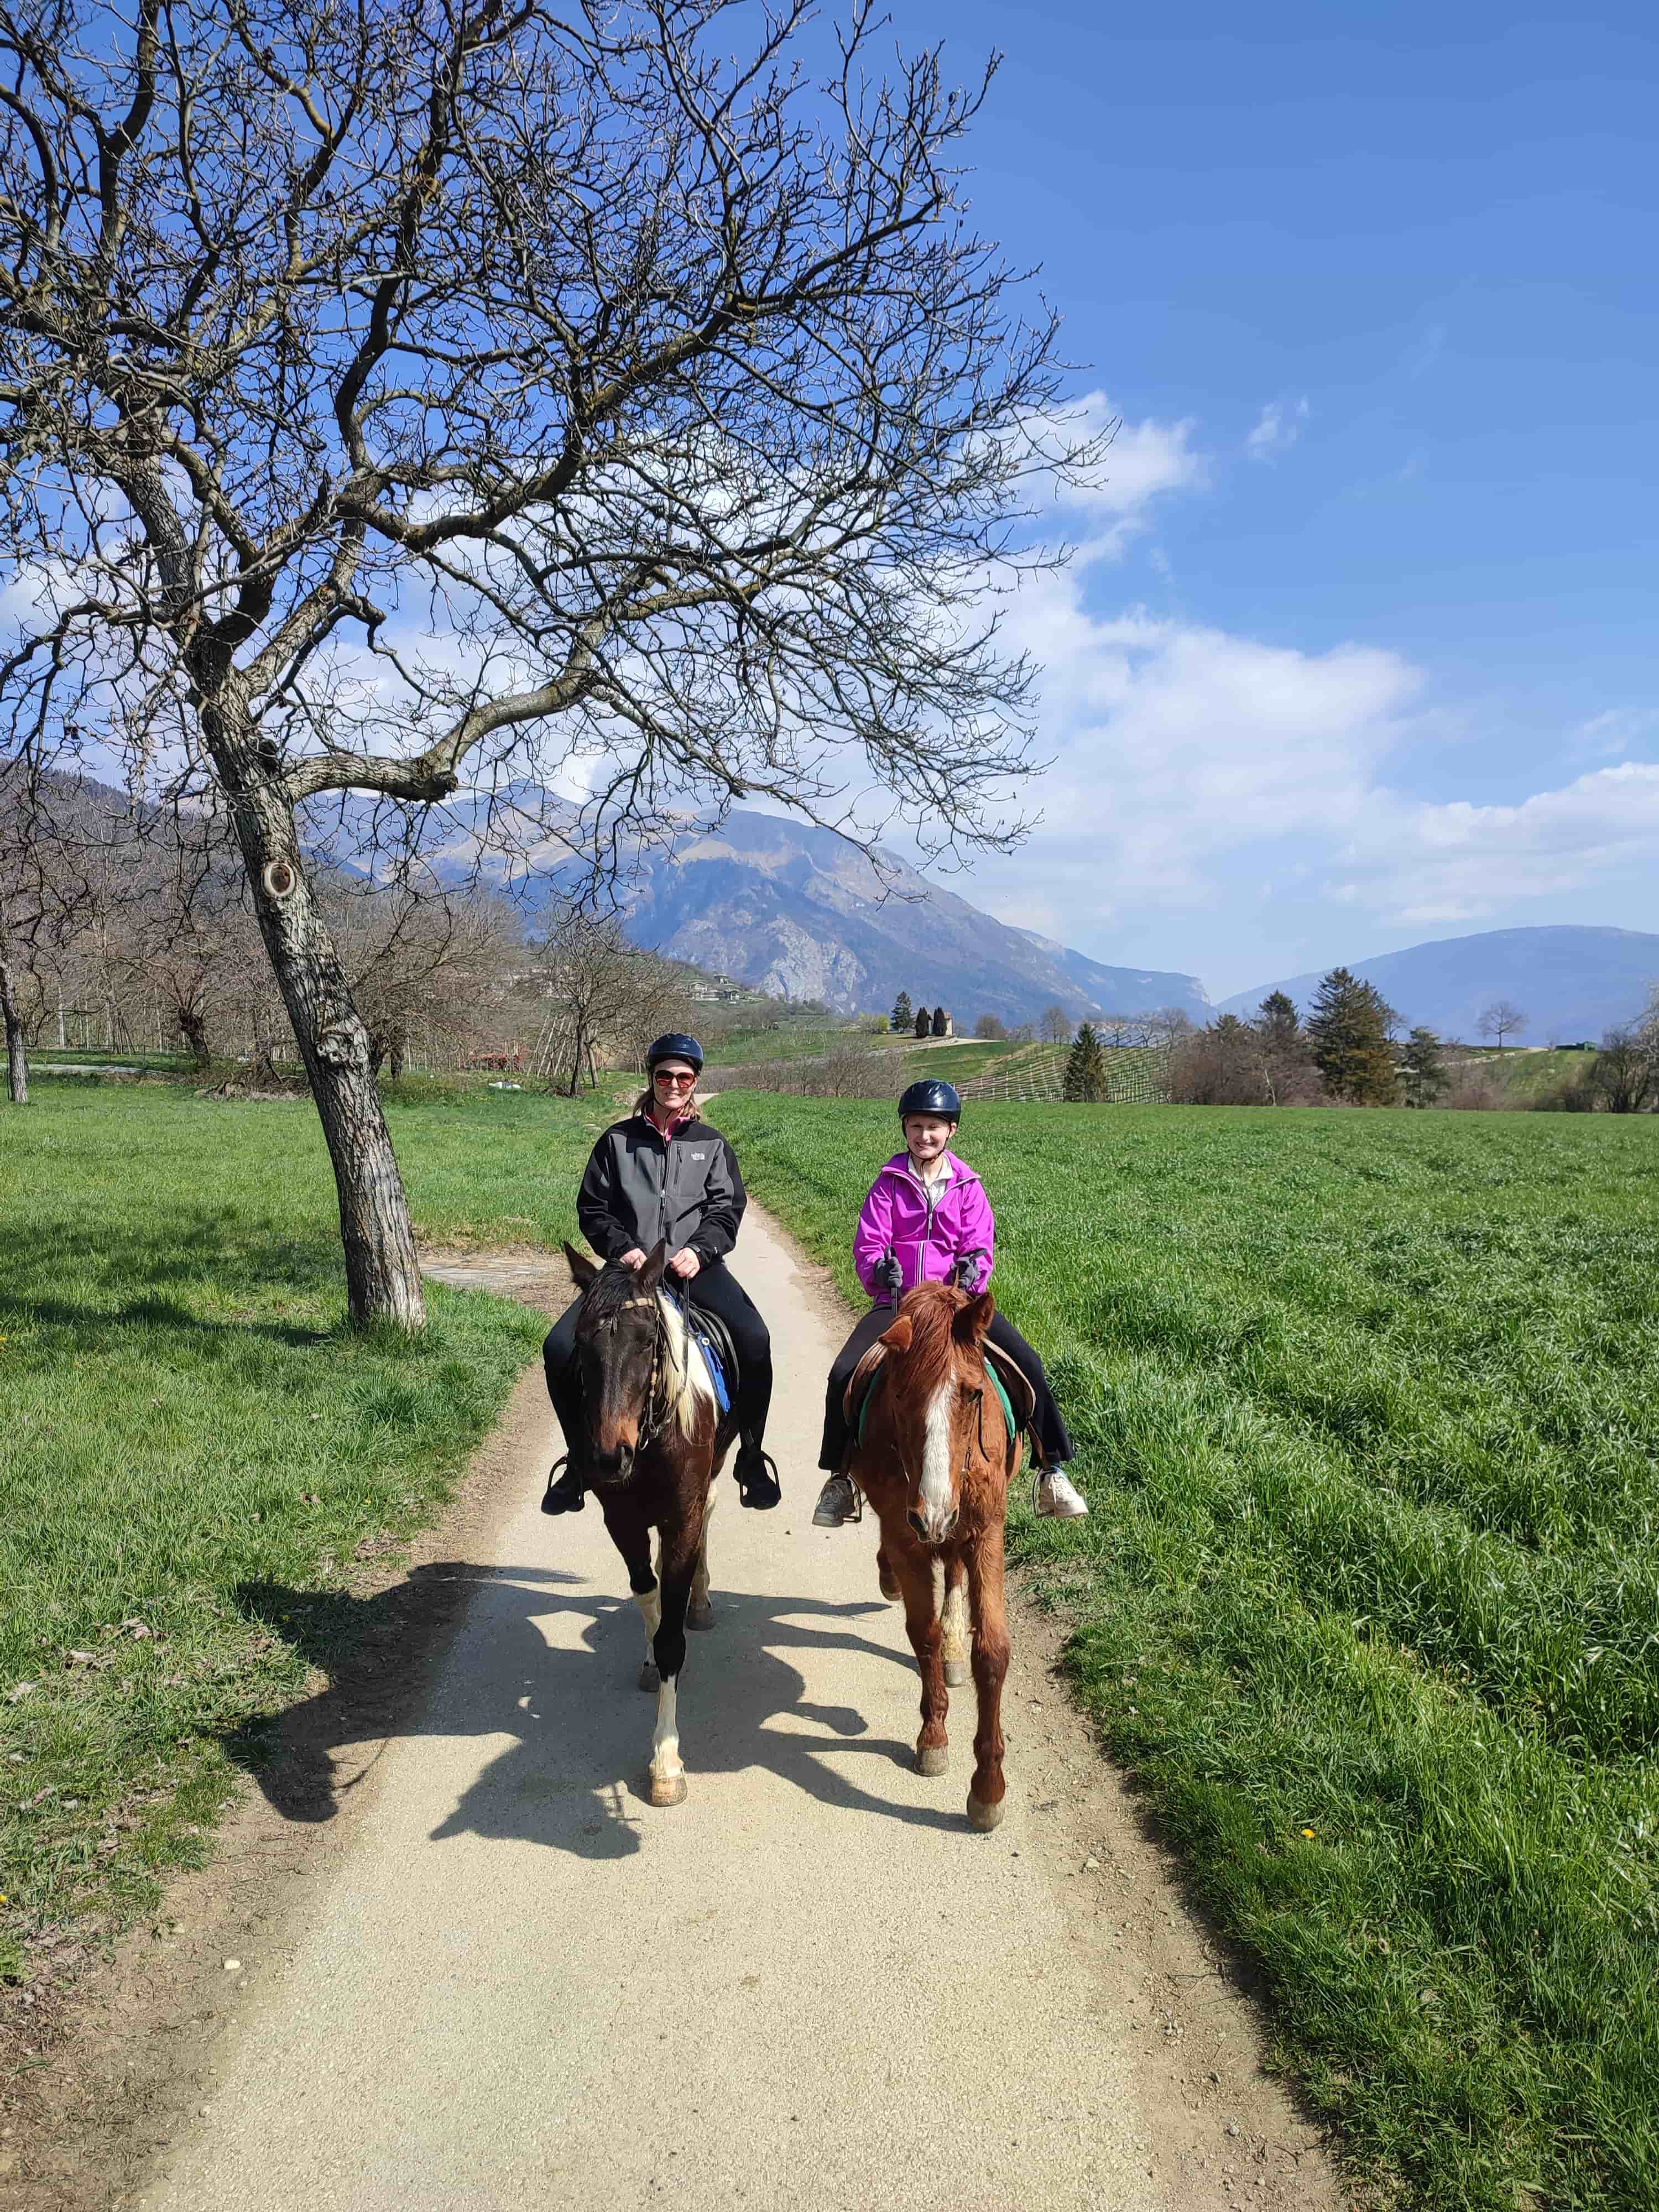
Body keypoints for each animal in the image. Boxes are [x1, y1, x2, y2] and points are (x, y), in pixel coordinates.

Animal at [566, 1239, 734, 1805]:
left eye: (646, 1343)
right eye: (582, 1344)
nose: (608, 1457)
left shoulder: (682, 1513)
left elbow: (672, 1642)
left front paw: (666, 1762)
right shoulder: (621, 1519)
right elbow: (648, 1594)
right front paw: (650, 1647)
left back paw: (700, 1602)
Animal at [849, 1283, 1022, 1832]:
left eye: (972, 1393)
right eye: (901, 1394)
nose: (934, 1512)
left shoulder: (987, 1533)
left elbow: (992, 1651)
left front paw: (988, 1787)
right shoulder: (908, 1535)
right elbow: (920, 1633)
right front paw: (933, 1738)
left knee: (954, 1571)